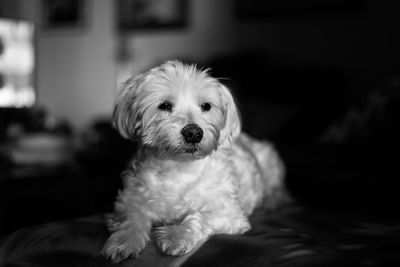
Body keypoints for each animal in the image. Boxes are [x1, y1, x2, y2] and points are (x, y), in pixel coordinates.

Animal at [101, 59, 290, 262]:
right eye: (164, 105)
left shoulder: (229, 213)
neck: (179, 167)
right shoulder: (129, 203)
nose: (193, 133)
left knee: (278, 190)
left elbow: (198, 217)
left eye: (206, 106)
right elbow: (131, 218)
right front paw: (124, 240)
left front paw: (177, 236)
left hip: (270, 162)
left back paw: (272, 201)